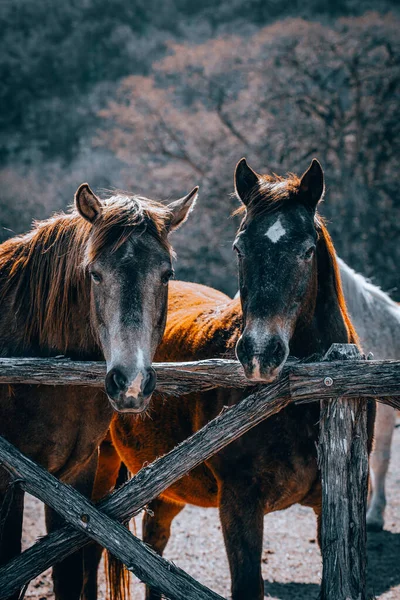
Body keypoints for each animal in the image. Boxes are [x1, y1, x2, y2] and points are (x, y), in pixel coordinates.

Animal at [0, 184, 198, 600]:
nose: (131, 383)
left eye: (167, 275)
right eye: (94, 274)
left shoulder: (76, 476)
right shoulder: (8, 479)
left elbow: (69, 573)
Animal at [91, 158, 376, 600]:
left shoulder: (336, 502)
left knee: (154, 543)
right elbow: (246, 584)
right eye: (240, 248)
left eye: (307, 251)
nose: (260, 353)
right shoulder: (240, 504)